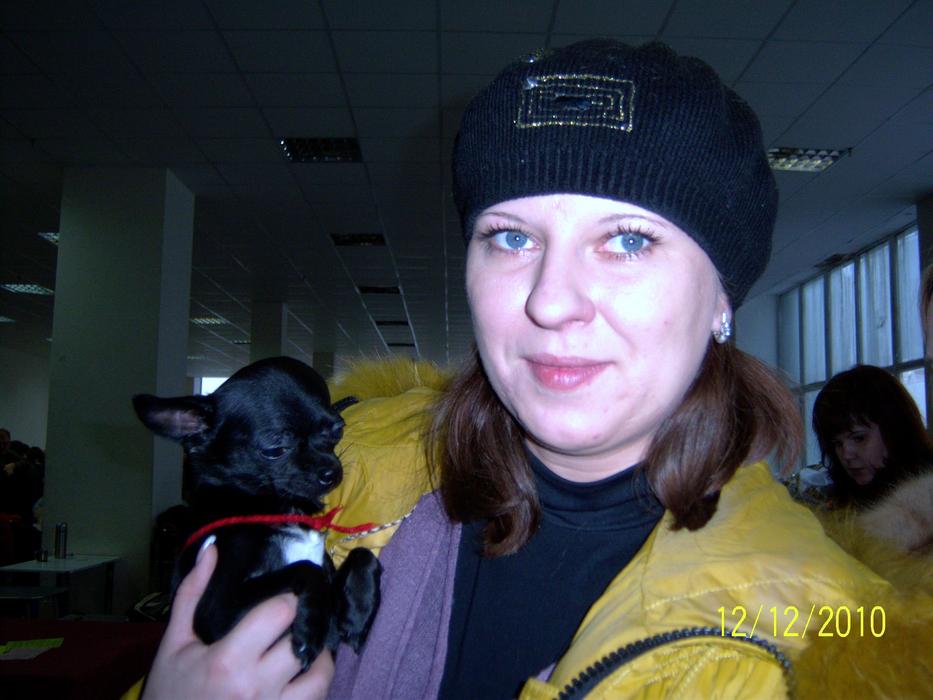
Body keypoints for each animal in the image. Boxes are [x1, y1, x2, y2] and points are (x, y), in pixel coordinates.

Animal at [132, 356, 381, 670]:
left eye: (337, 430)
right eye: (275, 448)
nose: (332, 473)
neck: (277, 509)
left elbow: (362, 555)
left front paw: (358, 612)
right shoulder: (218, 613)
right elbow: (307, 568)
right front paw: (311, 626)